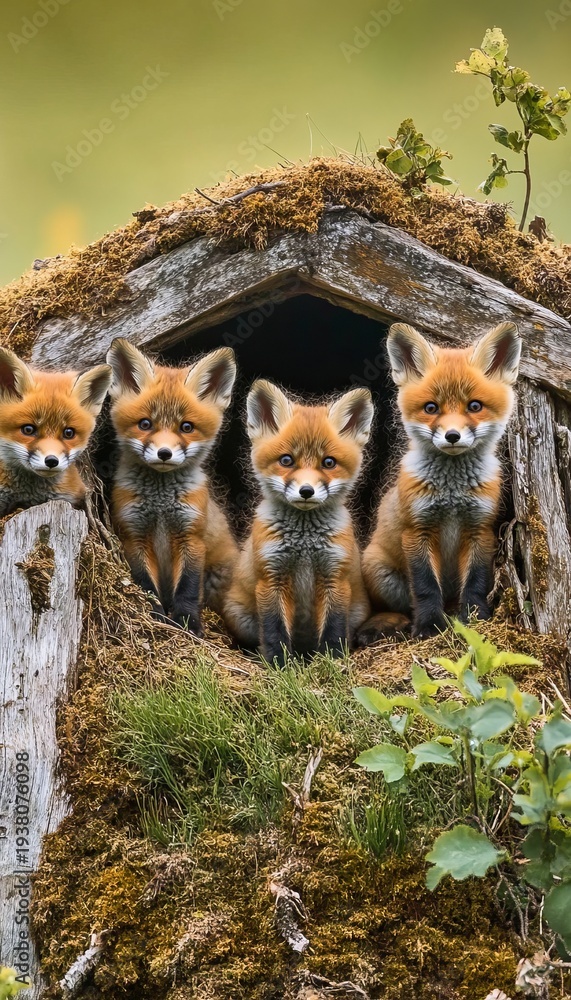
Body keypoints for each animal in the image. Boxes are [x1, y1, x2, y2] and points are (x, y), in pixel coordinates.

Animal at [107, 338, 239, 634]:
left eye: (186, 427)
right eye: (145, 424)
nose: (164, 453)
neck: (160, 506)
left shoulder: (191, 535)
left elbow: (188, 587)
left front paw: (188, 623)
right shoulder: (134, 535)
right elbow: (145, 584)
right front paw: (155, 616)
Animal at [223, 380, 374, 662]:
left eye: (328, 462)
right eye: (286, 460)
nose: (306, 491)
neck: (305, 546)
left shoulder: (334, 576)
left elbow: (333, 629)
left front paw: (332, 662)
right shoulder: (271, 577)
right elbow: (275, 631)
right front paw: (278, 665)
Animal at [358, 320, 522, 642]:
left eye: (474, 406)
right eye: (431, 408)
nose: (452, 436)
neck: (452, 494)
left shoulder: (480, 528)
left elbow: (476, 582)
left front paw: (474, 620)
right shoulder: (417, 530)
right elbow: (425, 587)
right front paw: (430, 626)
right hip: (379, 571)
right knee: (400, 605)